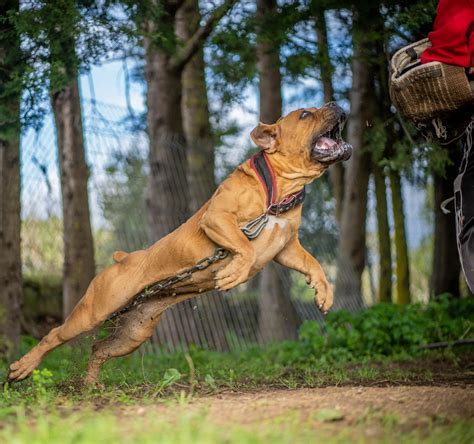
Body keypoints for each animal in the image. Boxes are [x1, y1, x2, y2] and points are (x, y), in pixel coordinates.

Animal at [7, 102, 352, 384]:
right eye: (305, 115)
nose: (335, 102)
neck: (280, 189)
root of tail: (123, 258)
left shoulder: (287, 247)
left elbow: (313, 263)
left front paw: (324, 291)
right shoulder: (217, 218)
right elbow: (244, 246)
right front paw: (233, 273)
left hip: (134, 331)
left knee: (98, 348)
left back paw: (91, 385)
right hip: (93, 311)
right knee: (53, 335)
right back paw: (22, 367)